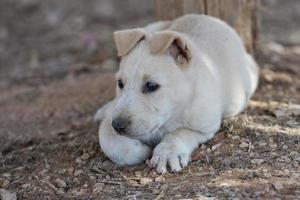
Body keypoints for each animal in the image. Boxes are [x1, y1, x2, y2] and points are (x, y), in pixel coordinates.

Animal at [95, 14, 258, 173]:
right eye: (120, 84)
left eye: (151, 86)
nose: (118, 126)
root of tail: (208, 17)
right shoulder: (111, 120)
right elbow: (108, 140)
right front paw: (139, 150)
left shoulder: (205, 127)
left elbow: (178, 133)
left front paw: (167, 153)